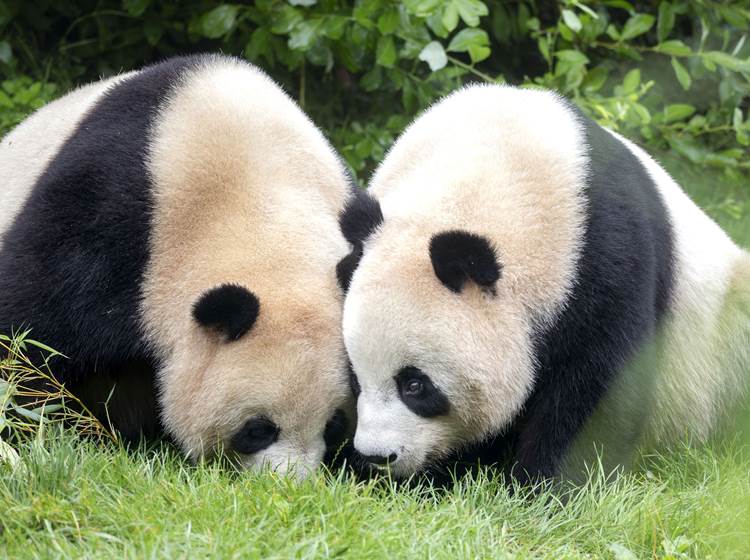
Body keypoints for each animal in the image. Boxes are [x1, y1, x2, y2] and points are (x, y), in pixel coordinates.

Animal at [338, 84, 750, 483]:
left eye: (415, 385)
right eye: (356, 379)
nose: (377, 457)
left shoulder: (604, 256)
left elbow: (599, 386)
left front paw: (544, 485)